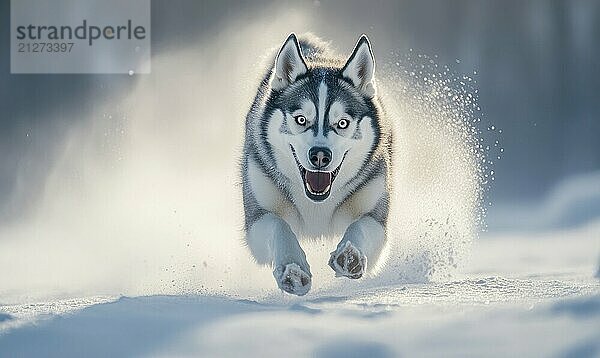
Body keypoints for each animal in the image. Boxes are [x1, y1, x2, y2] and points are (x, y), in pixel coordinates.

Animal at [244, 32, 394, 296]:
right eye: (301, 119)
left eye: (343, 123)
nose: (321, 156)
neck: (316, 203)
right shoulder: (258, 215)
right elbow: (278, 226)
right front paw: (292, 269)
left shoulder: (375, 214)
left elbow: (362, 226)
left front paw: (349, 256)